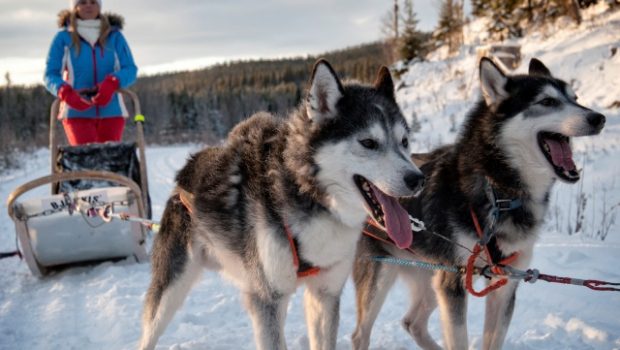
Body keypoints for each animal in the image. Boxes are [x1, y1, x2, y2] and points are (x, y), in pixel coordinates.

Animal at [138, 60, 424, 350]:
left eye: (404, 141)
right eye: (368, 142)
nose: (417, 179)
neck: (309, 194)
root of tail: (187, 169)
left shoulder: (325, 294)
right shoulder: (268, 299)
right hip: (171, 289)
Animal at [354, 58, 604, 350]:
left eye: (575, 99)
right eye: (547, 101)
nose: (599, 118)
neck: (498, 191)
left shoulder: (504, 283)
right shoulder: (454, 283)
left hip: (431, 277)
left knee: (412, 322)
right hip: (382, 277)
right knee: (361, 333)